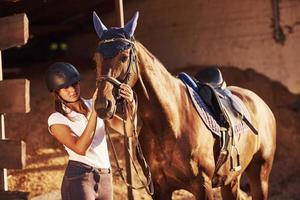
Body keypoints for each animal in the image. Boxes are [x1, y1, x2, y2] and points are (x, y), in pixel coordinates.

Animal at [92, 11, 276, 200]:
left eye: (123, 57)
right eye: (95, 60)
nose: (102, 104)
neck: (170, 122)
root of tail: (261, 104)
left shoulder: (203, 186)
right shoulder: (160, 187)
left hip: (260, 175)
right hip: (230, 179)